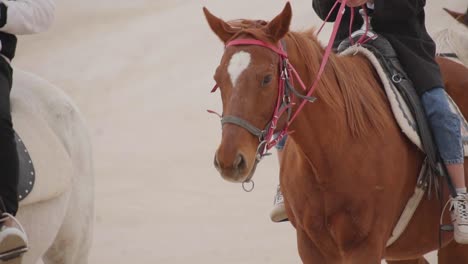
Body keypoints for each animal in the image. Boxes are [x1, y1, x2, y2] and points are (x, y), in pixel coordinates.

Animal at [207, 2, 468, 264]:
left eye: (267, 78)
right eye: (218, 78)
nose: (229, 161)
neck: (328, 156)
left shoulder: (365, 247)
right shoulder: (310, 247)